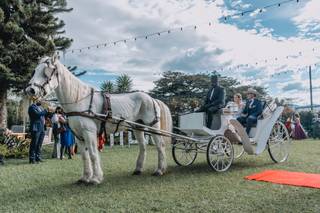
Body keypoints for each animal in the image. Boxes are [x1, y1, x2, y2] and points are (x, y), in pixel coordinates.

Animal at [25, 55, 172, 184]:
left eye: (47, 72)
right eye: (35, 70)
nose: (30, 90)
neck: (79, 100)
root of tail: (152, 98)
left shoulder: (89, 132)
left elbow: (93, 154)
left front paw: (96, 178)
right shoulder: (78, 135)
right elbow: (85, 156)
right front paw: (85, 177)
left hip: (153, 126)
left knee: (160, 145)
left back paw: (159, 170)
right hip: (138, 127)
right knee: (143, 146)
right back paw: (138, 169)